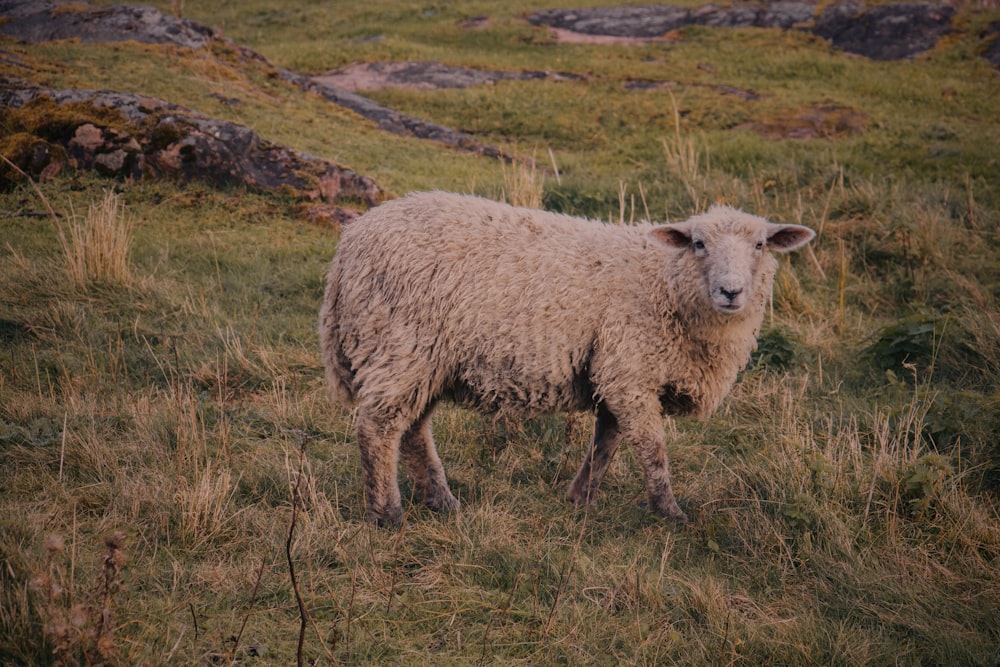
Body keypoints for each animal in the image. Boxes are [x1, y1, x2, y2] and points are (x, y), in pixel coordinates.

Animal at [320, 192, 812, 528]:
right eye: (697, 243)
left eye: (761, 245)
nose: (731, 291)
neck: (665, 282)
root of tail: (349, 245)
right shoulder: (630, 368)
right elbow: (652, 450)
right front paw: (670, 513)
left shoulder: (615, 372)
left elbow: (606, 443)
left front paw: (580, 498)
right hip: (400, 344)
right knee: (380, 428)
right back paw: (387, 513)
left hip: (428, 360)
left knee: (414, 432)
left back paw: (443, 502)